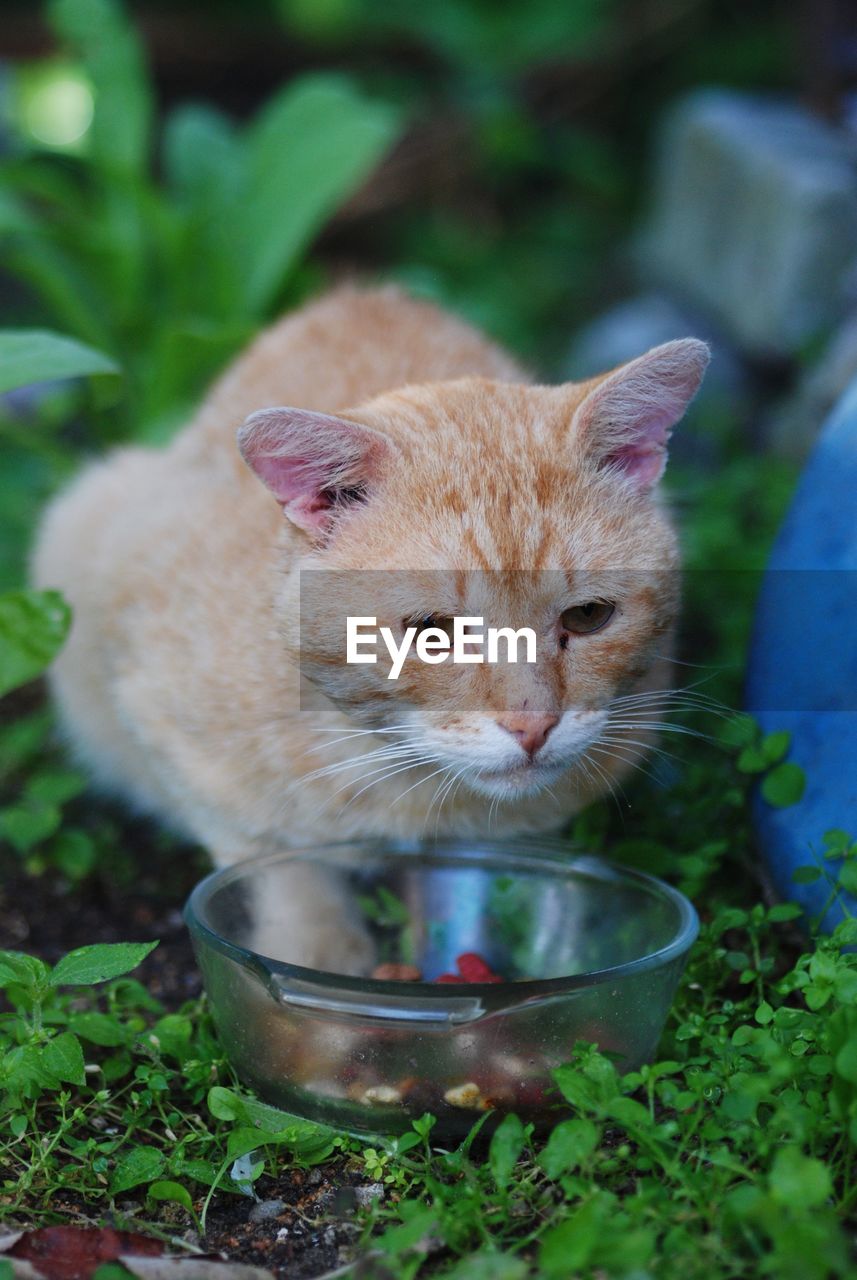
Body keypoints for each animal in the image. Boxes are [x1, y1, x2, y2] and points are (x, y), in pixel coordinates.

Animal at [30, 288, 706, 967]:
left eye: (588, 616)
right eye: (432, 629)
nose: (533, 727)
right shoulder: (172, 730)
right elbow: (280, 864)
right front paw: (317, 955)